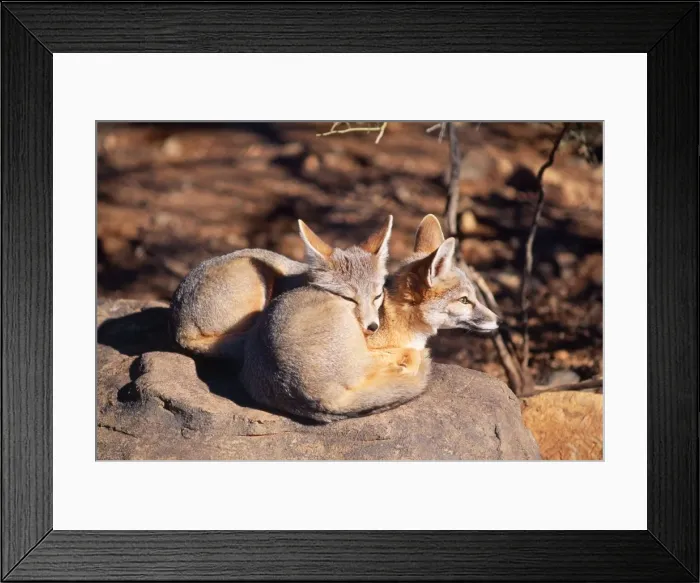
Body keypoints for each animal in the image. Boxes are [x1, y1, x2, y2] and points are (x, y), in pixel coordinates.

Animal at [170, 216, 393, 358]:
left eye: (377, 296)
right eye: (348, 298)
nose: (373, 326)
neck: (302, 279)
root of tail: (180, 326)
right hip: (257, 273)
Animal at [241, 214, 501, 423]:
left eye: (473, 297)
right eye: (465, 300)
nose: (499, 321)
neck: (394, 315)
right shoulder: (375, 346)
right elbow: (409, 354)